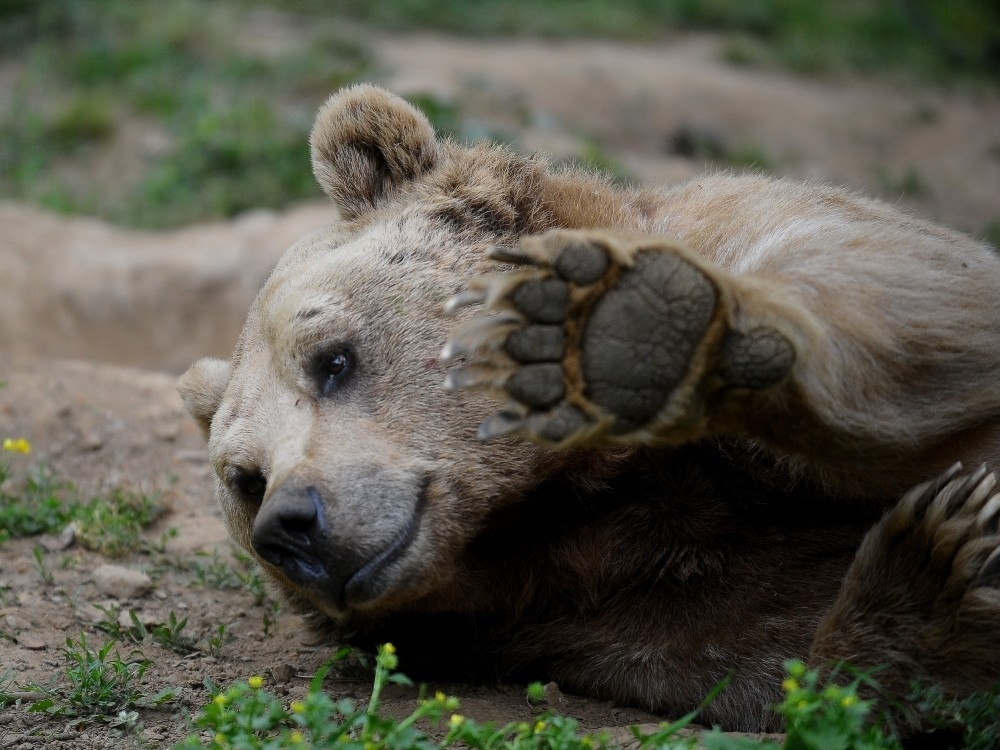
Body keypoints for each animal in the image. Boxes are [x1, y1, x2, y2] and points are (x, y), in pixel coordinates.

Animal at [178, 83, 1000, 736]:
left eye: (334, 359)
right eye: (245, 477)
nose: (291, 523)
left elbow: (899, 287)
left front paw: (634, 332)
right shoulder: (617, 603)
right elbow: (778, 657)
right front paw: (933, 572)